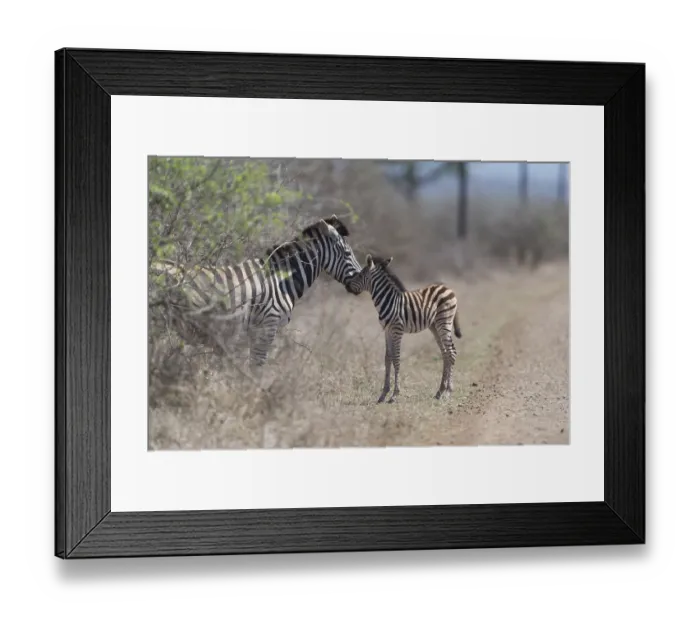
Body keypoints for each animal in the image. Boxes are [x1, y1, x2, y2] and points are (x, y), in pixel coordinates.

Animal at [150, 215, 362, 367]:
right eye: (347, 253)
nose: (361, 282)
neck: (281, 281)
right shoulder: (267, 326)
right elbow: (257, 368)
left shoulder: (254, 332)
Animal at [347, 254, 462, 403]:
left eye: (360, 275)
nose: (347, 286)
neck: (388, 300)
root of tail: (448, 288)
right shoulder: (387, 330)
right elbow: (387, 358)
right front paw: (383, 394)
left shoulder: (397, 330)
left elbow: (396, 358)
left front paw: (395, 394)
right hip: (435, 326)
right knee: (445, 353)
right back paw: (440, 391)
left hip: (445, 322)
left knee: (452, 352)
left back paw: (448, 392)